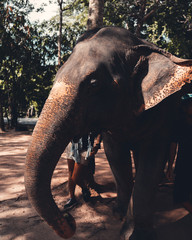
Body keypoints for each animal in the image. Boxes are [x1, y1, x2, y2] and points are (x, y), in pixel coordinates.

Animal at [24, 26, 192, 240]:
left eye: (94, 84)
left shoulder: (162, 111)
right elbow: (116, 156)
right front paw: (118, 213)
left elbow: (152, 159)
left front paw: (135, 234)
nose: (70, 218)